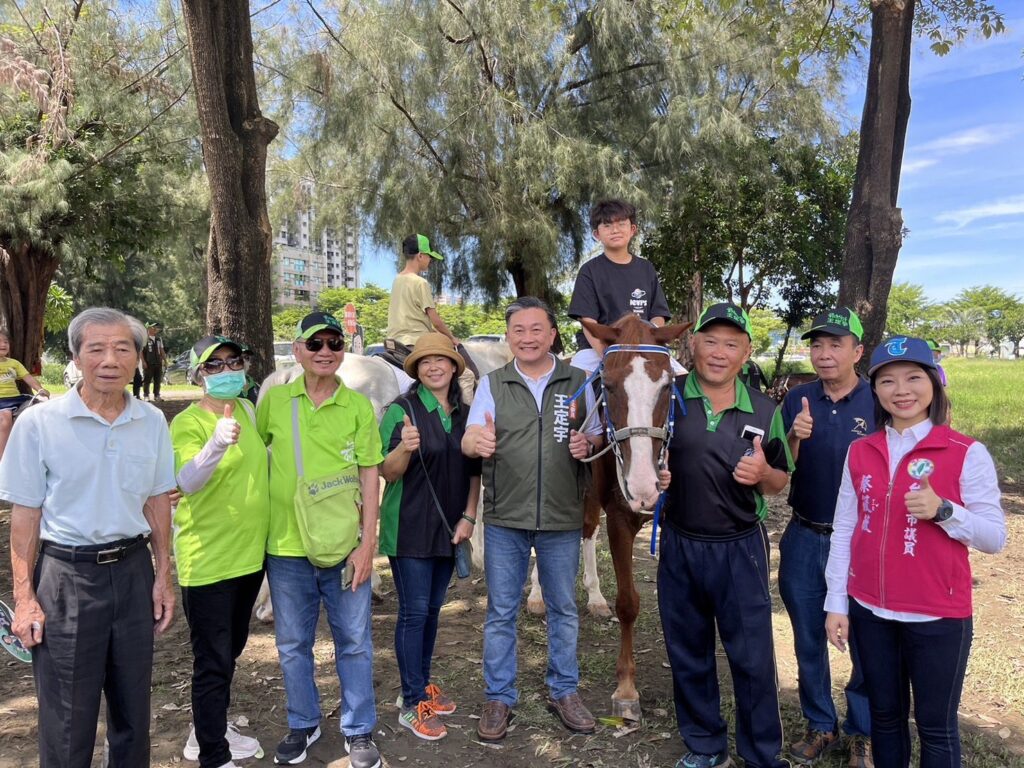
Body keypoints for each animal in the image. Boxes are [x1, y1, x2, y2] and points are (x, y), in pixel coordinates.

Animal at [581, 313, 692, 720]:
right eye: (608, 386)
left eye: (667, 386)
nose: (644, 485)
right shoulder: (619, 520)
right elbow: (628, 603)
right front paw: (627, 688)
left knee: (586, 530)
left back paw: (594, 597)